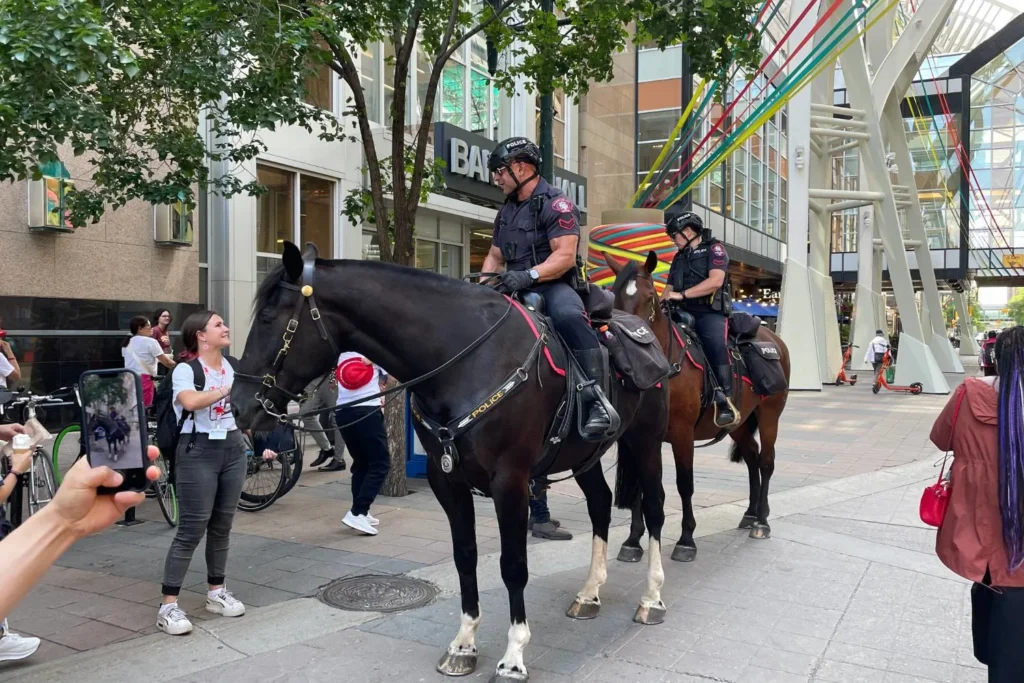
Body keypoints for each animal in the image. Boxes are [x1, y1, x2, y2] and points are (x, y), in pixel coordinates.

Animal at [235, 244, 675, 683]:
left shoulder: (510, 481)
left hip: (646, 442)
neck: (466, 362)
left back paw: (652, 598)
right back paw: (589, 593)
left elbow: (513, 565)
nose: (239, 407)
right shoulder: (446, 478)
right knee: (600, 504)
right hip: (585, 454)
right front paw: (464, 644)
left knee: (655, 507)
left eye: (269, 318)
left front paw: (513, 655)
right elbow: (465, 556)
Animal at [606, 249, 790, 561]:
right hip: (739, 423)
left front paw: (686, 539)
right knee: (752, 457)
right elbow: (642, 487)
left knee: (766, 462)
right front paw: (633, 539)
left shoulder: (682, 435)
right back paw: (750, 514)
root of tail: (773, 337)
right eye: (613, 297)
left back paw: (762, 521)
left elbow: (684, 485)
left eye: (649, 298)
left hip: (769, 416)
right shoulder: (639, 436)